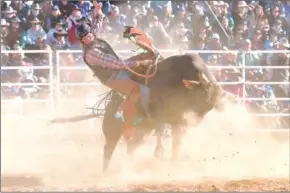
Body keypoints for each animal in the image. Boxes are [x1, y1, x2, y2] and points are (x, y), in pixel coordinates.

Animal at [49, 26, 236, 173]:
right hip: (112, 131)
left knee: (131, 147)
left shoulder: (177, 120)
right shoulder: (161, 115)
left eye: (211, 105)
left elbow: (176, 143)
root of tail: (106, 109)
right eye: (200, 96)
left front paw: (172, 161)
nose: (195, 121)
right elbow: (162, 130)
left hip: (140, 131)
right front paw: (160, 152)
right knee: (109, 150)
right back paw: (106, 172)